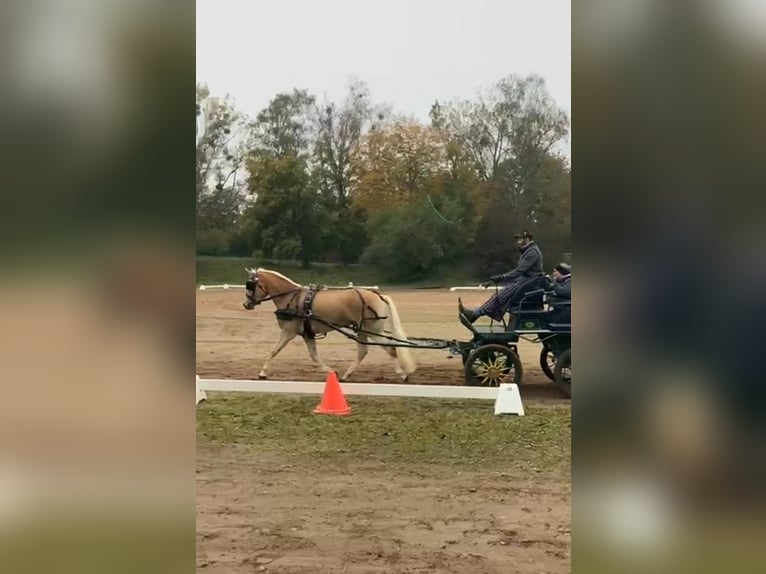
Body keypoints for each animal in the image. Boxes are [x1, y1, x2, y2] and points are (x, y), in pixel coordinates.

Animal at [242, 268, 416, 382]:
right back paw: (346, 375)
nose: (246, 304)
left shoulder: (288, 331)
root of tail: (378, 295)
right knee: (363, 351)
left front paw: (263, 372)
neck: (292, 298)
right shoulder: (307, 334)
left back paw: (403, 375)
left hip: (372, 329)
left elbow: (274, 350)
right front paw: (332, 372)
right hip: (362, 330)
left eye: (250, 284)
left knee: (390, 349)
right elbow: (314, 356)